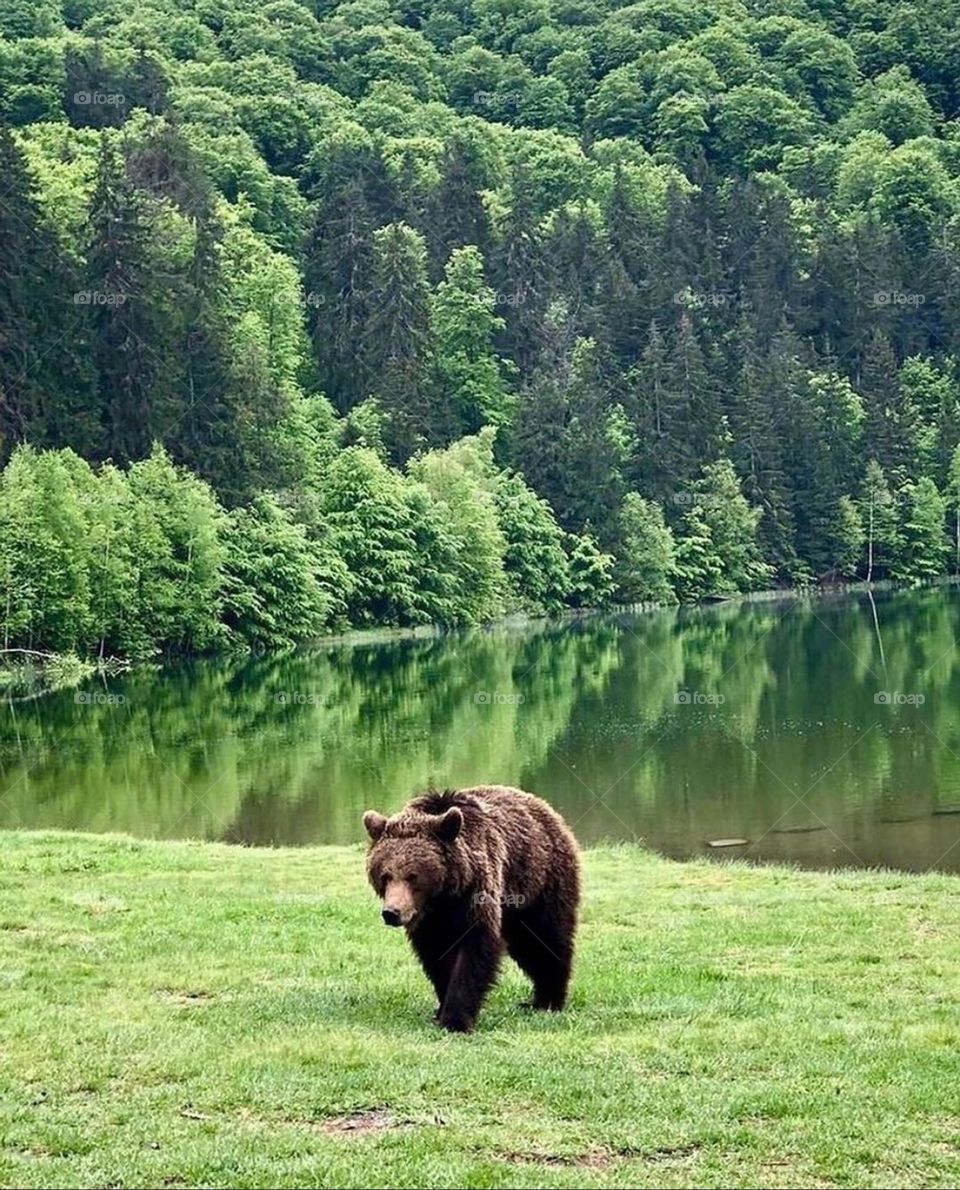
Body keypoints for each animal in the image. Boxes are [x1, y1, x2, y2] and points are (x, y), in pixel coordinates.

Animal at [362, 784, 581, 1033]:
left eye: (413, 876)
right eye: (385, 875)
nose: (392, 912)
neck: (443, 898)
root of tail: (546, 808)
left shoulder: (476, 896)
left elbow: (475, 950)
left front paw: (456, 1020)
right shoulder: (430, 923)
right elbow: (436, 956)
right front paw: (441, 1008)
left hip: (539, 882)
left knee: (546, 939)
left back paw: (548, 1000)